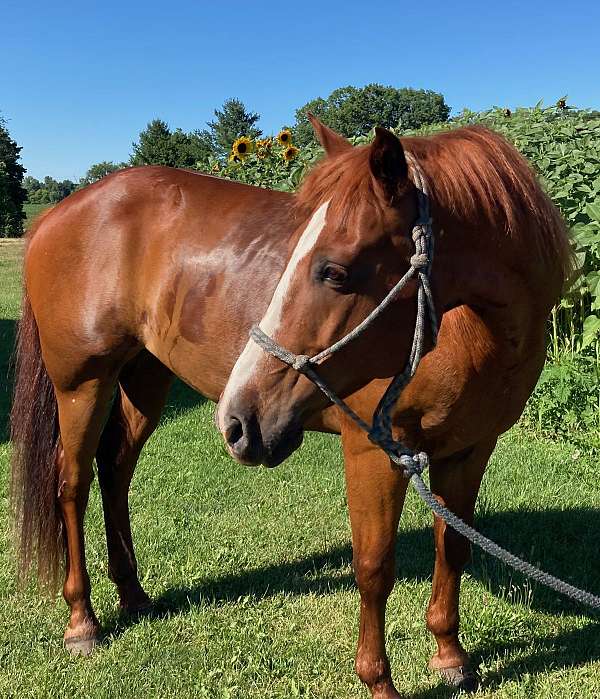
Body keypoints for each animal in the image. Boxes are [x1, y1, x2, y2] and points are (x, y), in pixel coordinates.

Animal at [9, 115, 570, 699]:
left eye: (335, 272)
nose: (237, 420)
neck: (468, 332)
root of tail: (56, 214)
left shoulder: (470, 449)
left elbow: (453, 547)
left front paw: (450, 655)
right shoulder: (374, 452)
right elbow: (374, 567)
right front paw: (379, 681)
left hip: (145, 379)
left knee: (115, 472)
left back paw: (133, 594)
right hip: (83, 383)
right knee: (71, 484)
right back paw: (82, 621)